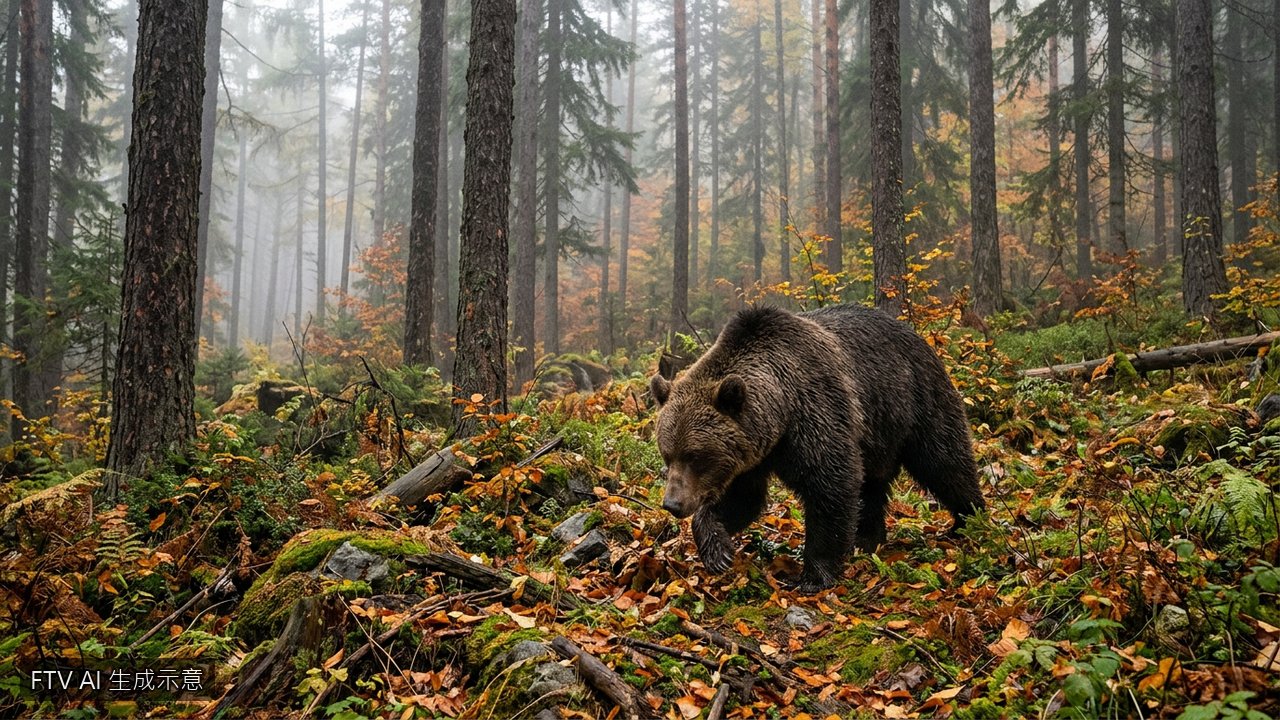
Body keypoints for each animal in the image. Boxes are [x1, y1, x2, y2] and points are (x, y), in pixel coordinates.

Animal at [649, 304, 985, 591]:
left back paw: (968, 520)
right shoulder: (753, 454)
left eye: (696, 456)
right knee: (873, 485)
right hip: (877, 435)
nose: (673, 504)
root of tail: (918, 336)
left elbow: (831, 484)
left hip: (915, 400)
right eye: (668, 454)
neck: (780, 411)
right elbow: (744, 499)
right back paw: (867, 538)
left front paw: (813, 576)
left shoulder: (815, 411)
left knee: (944, 460)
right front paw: (717, 551)